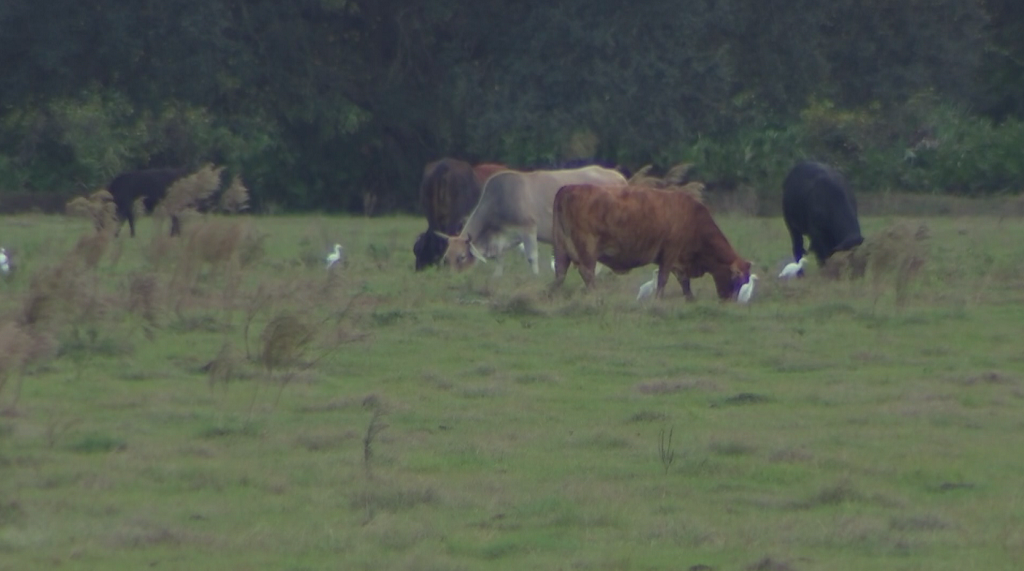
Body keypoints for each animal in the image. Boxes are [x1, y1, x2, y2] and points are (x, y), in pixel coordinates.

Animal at [438, 165, 626, 276]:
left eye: (462, 257)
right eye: (446, 258)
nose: (453, 278)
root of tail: (618, 176)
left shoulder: (528, 228)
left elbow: (531, 257)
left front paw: (535, 277)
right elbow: (500, 258)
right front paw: (497, 277)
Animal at [552, 186, 753, 302]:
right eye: (737, 279)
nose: (731, 300)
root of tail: (567, 189)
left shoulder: (677, 259)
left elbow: (683, 281)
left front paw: (690, 297)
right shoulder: (671, 252)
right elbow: (664, 279)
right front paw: (658, 299)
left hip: (561, 247)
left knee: (560, 272)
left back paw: (553, 295)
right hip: (587, 248)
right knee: (587, 272)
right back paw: (596, 296)